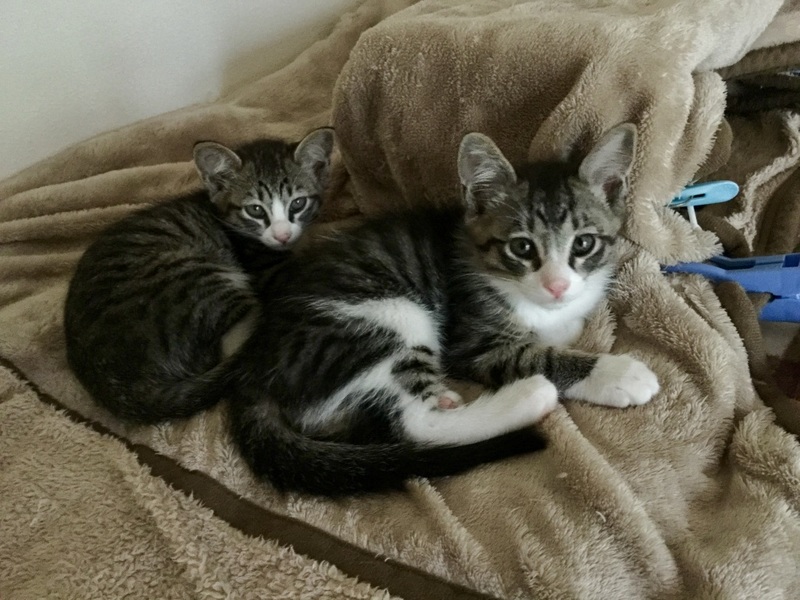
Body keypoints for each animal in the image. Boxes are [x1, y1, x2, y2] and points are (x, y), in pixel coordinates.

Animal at [64, 127, 334, 423]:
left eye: (298, 203)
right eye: (255, 210)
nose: (282, 235)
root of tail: (115, 386)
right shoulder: (266, 270)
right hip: (195, 278)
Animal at [222, 123, 659, 496]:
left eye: (583, 244)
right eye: (522, 247)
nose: (556, 285)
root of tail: (252, 369)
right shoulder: (471, 339)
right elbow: (537, 355)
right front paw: (616, 373)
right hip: (387, 316)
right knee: (412, 424)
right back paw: (529, 396)